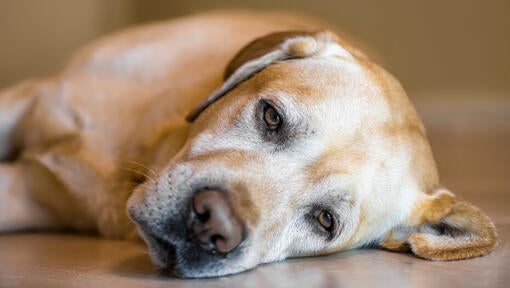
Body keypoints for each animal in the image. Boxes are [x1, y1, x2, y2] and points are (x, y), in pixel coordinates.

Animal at [0, 10, 494, 276]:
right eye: (272, 116)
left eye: (325, 220)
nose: (211, 225)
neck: (132, 161)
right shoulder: (26, 97)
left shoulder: (28, 197)